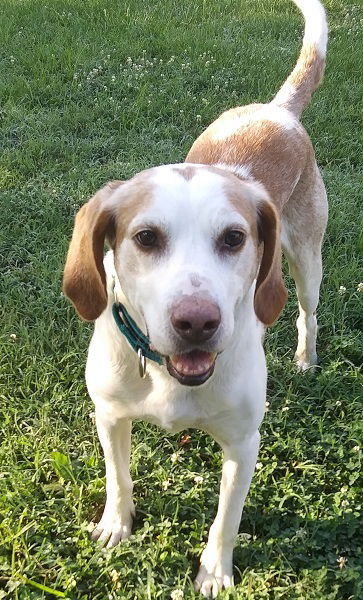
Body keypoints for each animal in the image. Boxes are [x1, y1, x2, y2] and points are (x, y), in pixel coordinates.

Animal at [62, 1, 330, 596]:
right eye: (145, 238)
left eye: (233, 238)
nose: (197, 322)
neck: (168, 376)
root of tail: (276, 111)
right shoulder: (109, 416)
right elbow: (118, 479)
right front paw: (116, 525)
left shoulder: (243, 443)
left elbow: (225, 521)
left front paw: (215, 571)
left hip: (307, 259)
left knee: (307, 311)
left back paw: (305, 356)